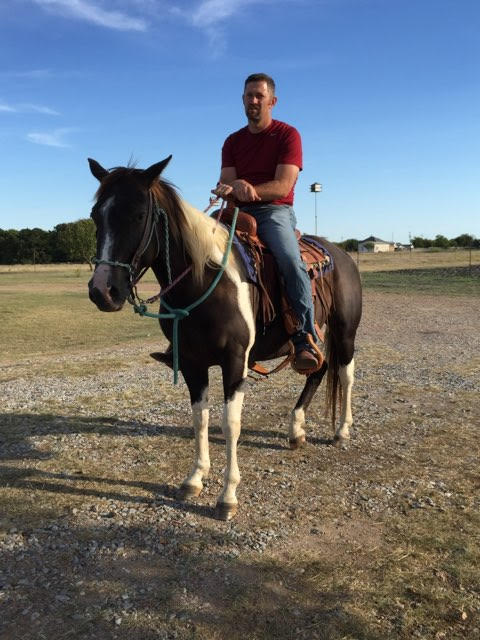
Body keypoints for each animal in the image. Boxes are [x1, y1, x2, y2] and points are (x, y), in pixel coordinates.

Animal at [88, 156, 362, 520]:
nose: (102, 291)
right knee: (317, 370)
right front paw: (194, 478)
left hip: (345, 331)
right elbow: (200, 418)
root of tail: (341, 254)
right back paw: (296, 431)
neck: (205, 280)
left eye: (139, 214)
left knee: (345, 374)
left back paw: (342, 431)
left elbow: (230, 423)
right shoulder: (192, 363)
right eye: (96, 215)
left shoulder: (234, 361)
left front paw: (228, 495)